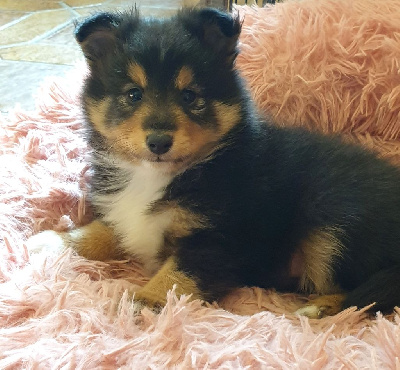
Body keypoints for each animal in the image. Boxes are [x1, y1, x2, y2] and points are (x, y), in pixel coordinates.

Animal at [27, 7, 400, 318]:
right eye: (133, 94)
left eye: (190, 96)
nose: (159, 142)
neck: (157, 176)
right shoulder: (124, 213)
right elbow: (105, 230)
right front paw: (53, 241)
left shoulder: (220, 238)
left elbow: (177, 273)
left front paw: (143, 301)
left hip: (334, 224)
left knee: (372, 290)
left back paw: (319, 308)